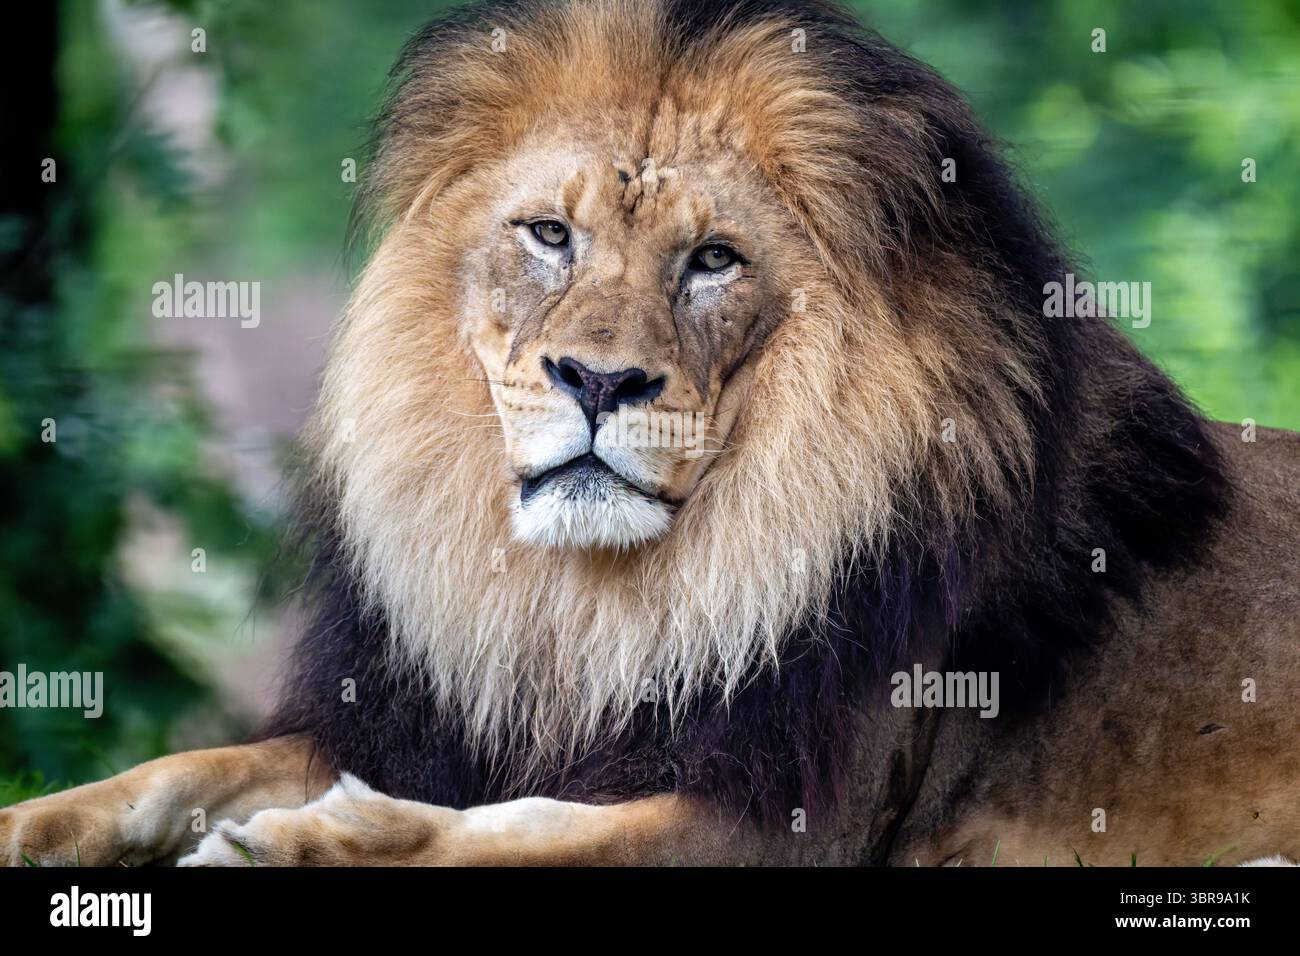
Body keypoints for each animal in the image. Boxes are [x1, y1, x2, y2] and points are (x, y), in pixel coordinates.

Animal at [4, 0, 1299, 867]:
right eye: (548, 235)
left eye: (713, 258)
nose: (597, 379)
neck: (585, 614)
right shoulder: (424, 717)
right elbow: (170, 771)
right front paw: (31, 823)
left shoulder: (795, 820)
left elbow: (513, 835)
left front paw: (308, 842)